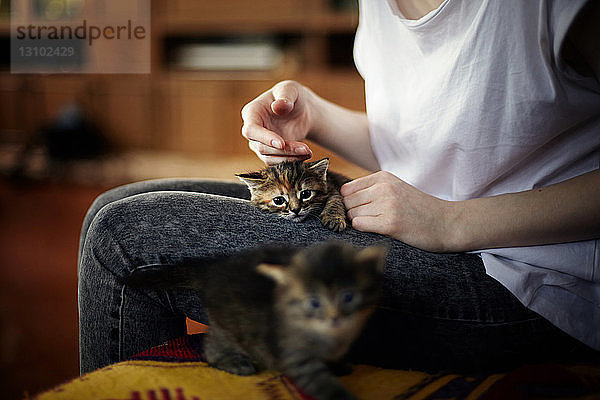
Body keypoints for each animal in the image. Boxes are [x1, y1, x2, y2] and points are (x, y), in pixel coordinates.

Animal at [128, 241, 386, 400]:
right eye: (313, 302)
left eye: (348, 296)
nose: (334, 317)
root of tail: (212, 271)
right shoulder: (293, 352)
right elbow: (319, 381)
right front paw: (340, 394)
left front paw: (338, 365)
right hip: (228, 325)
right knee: (212, 347)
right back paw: (234, 362)